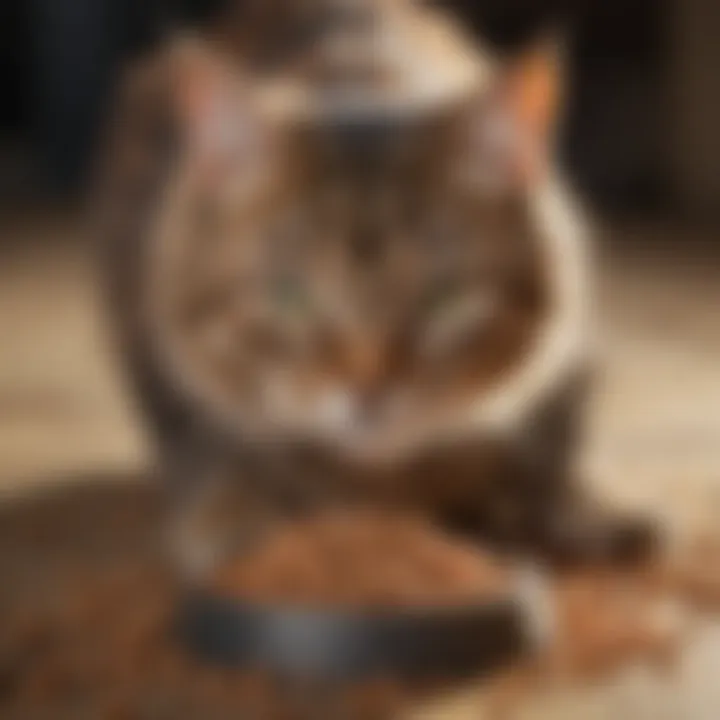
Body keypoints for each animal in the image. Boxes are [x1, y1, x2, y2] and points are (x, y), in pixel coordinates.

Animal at [97, 0, 660, 572]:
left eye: (443, 301)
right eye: (289, 297)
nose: (368, 394)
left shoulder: (571, 355)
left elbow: (547, 450)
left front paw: (571, 512)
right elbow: (220, 449)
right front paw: (235, 514)